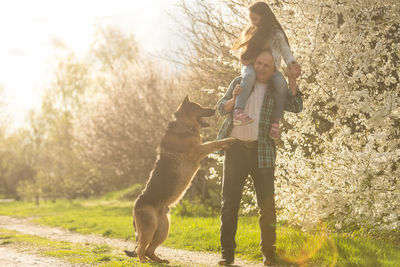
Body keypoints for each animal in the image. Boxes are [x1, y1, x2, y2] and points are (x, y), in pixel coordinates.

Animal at [125, 96, 236, 264]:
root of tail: (135, 207)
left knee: (150, 250)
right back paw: (144, 261)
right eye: (198, 107)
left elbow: (215, 143)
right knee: (140, 249)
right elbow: (214, 142)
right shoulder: (199, 150)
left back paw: (158, 260)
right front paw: (230, 138)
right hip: (150, 228)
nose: (214, 109)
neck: (184, 125)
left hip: (163, 229)